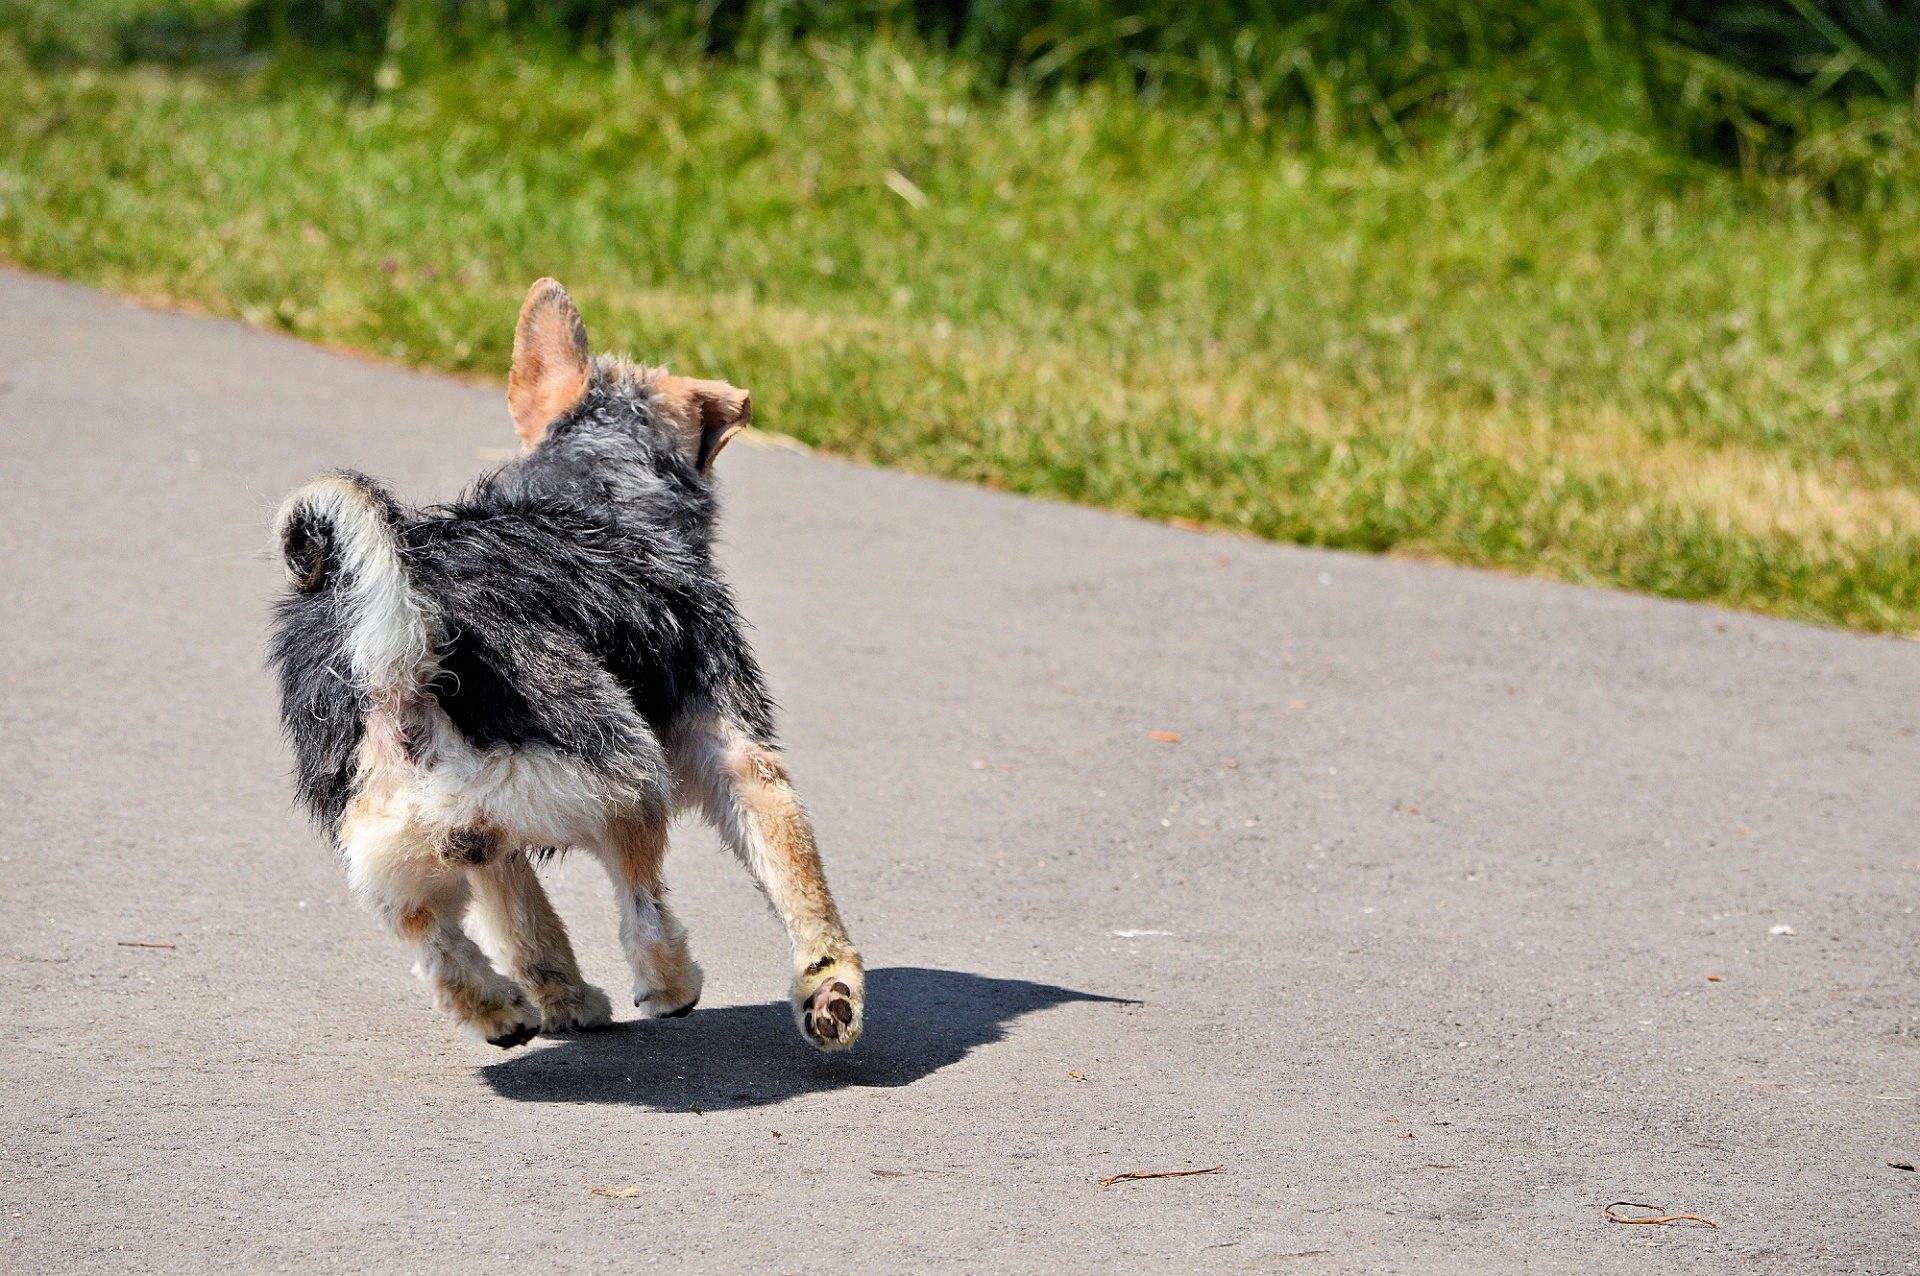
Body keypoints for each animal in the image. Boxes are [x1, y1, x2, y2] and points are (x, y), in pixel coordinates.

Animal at [266, 283, 867, 1051]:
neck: (592, 490)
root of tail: (402, 666)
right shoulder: (736, 748)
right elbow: (797, 874)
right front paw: (829, 986)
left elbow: (526, 921)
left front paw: (559, 997)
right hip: (625, 772)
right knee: (641, 908)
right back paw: (670, 985)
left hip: (393, 837)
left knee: (440, 939)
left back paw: (509, 1005)